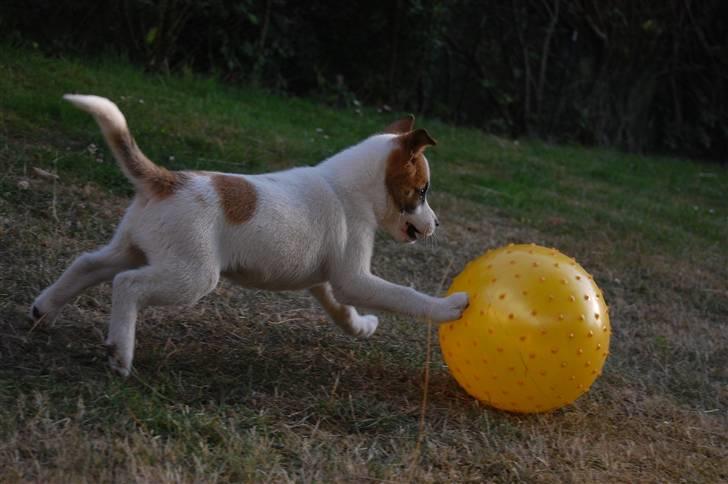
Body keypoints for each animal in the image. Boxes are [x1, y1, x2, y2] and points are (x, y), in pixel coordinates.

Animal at [31, 93, 470, 374]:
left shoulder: (327, 281)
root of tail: (168, 180)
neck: (348, 186)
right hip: (191, 276)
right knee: (126, 284)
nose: (437, 224)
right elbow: (403, 296)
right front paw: (448, 308)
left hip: (133, 247)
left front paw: (361, 327)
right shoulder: (354, 278)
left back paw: (44, 309)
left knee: (88, 264)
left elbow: (341, 311)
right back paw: (120, 353)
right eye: (422, 191)